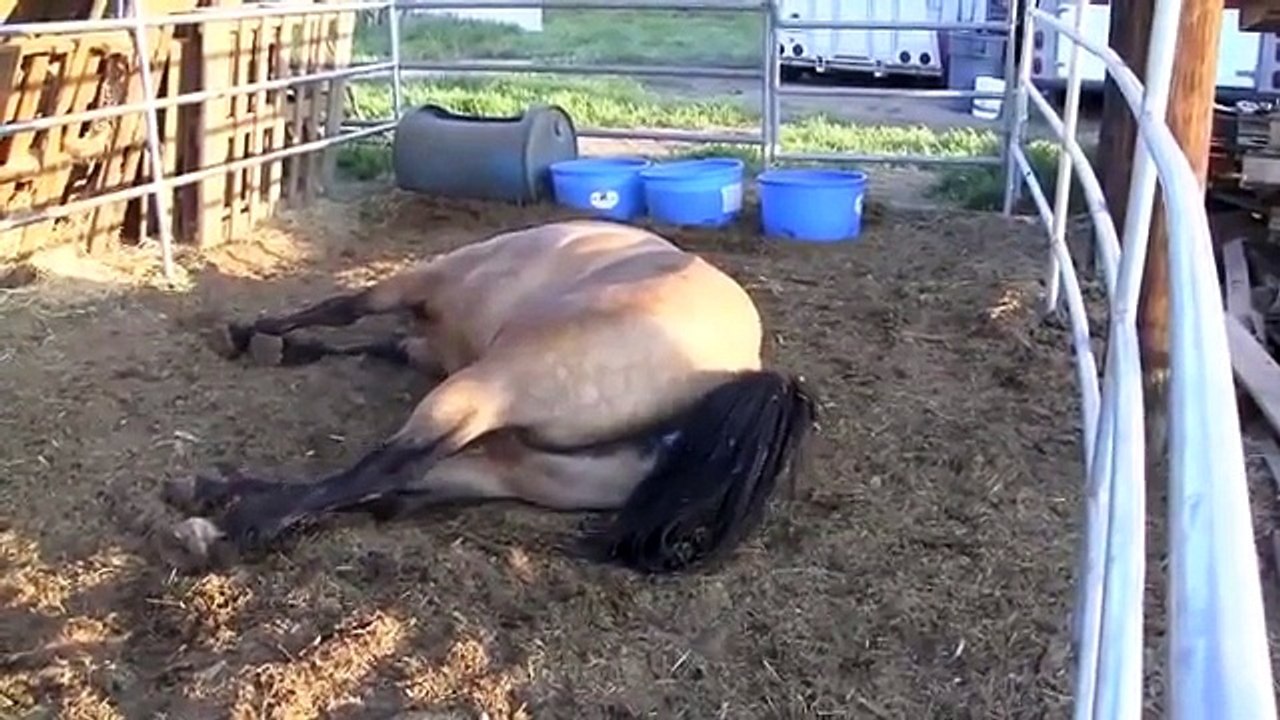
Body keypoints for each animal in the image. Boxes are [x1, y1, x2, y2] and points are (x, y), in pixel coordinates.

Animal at [159, 218, 817, 574]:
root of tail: (738, 372)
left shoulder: (416, 285)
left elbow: (345, 308)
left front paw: (255, 333)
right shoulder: (426, 347)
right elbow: (378, 343)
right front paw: (284, 346)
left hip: (491, 387)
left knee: (387, 465)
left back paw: (228, 523)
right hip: (517, 468)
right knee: (391, 490)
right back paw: (213, 493)